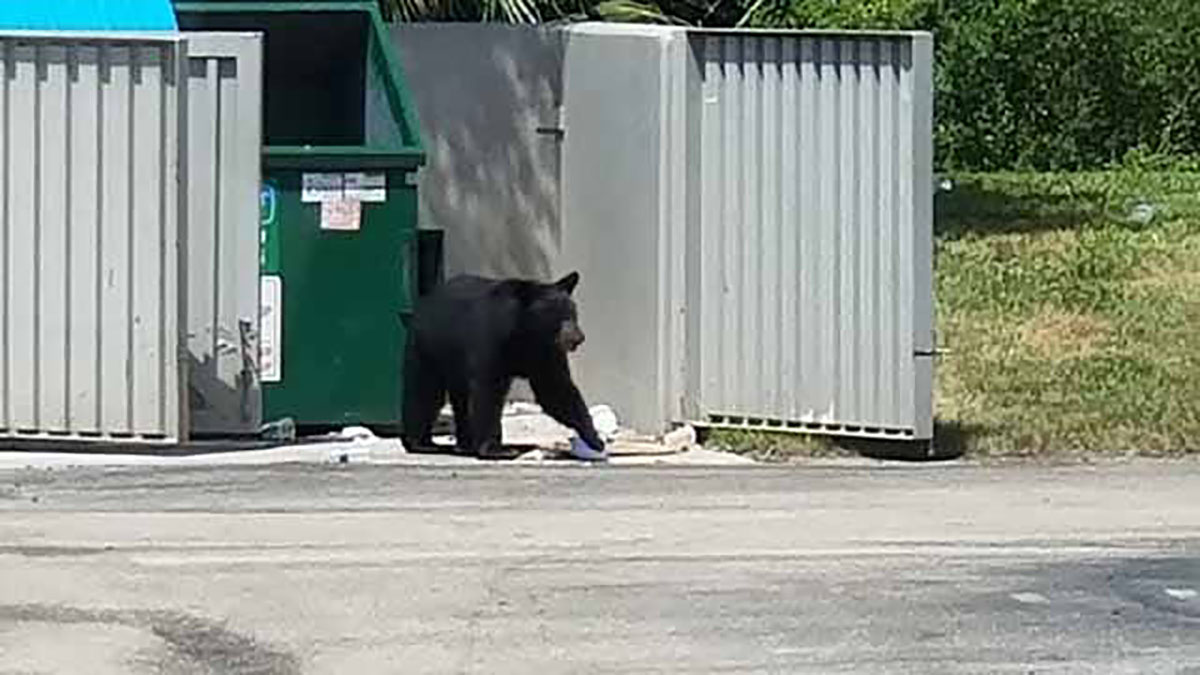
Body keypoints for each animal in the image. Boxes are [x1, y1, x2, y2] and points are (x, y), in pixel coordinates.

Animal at [403, 269, 604, 456]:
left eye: (573, 314)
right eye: (558, 317)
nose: (578, 338)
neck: (526, 332)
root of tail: (427, 298)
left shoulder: (545, 353)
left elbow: (555, 387)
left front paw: (595, 439)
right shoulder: (492, 338)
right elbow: (488, 389)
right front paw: (495, 448)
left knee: (459, 399)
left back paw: (464, 445)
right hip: (431, 347)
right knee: (426, 390)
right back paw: (422, 443)